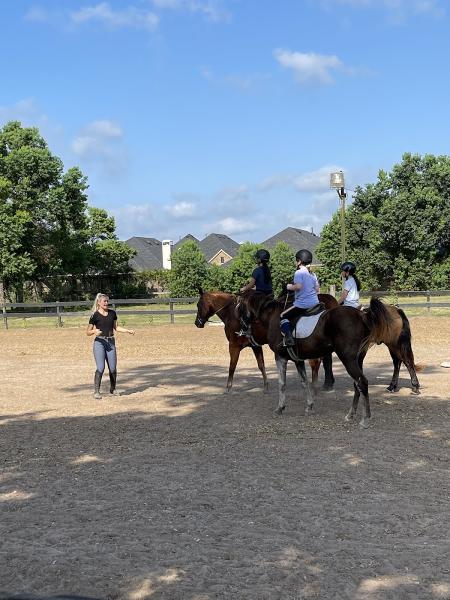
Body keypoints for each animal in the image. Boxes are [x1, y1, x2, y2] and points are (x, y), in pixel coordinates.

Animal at [193, 290, 338, 394]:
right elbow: (261, 365)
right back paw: (326, 384)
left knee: (319, 362)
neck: (232, 313)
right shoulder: (255, 346)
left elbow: (232, 366)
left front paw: (228, 387)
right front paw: (266, 386)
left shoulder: (234, 346)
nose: (197, 323)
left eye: (199, 304)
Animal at [244, 294, 396, 426]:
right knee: (357, 384)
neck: (274, 316)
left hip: (348, 359)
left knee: (362, 382)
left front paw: (280, 408)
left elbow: (282, 383)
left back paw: (365, 419)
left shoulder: (280, 357)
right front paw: (309, 406)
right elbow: (305, 382)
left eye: (241, 306)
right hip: (358, 360)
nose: (244, 331)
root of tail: (361, 315)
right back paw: (351, 414)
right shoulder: (298, 360)